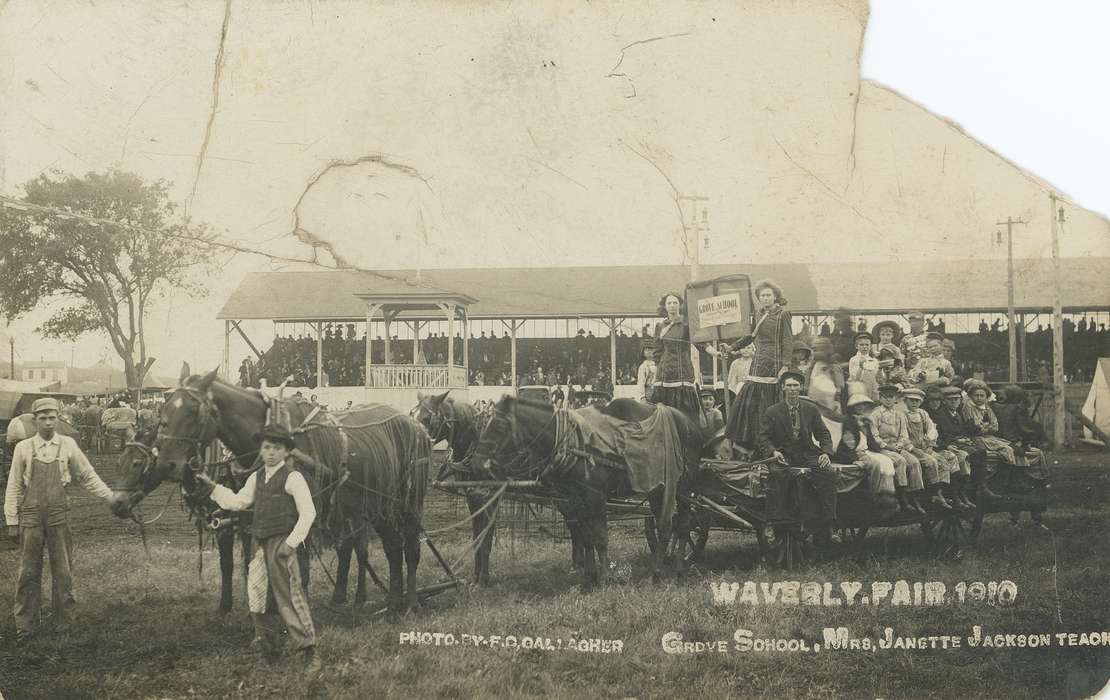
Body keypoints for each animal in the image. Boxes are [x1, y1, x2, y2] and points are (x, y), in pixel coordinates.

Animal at [109, 363, 428, 616]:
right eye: (163, 410)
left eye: (194, 410)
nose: (117, 503)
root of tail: (414, 424)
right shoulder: (245, 518)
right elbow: (244, 564)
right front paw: (249, 607)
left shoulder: (299, 516)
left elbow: (295, 567)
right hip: (375, 506)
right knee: (387, 546)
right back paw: (389, 602)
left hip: (406, 504)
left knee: (408, 547)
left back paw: (409, 603)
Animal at [408, 394, 499, 585]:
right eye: (412, 413)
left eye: (426, 418)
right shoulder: (472, 496)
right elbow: (476, 537)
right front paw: (475, 577)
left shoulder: (490, 496)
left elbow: (486, 538)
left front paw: (484, 579)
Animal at [470, 397, 701, 590]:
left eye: (500, 425)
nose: (477, 463)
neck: (571, 442)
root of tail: (687, 421)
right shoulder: (575, 499)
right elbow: (586, 537)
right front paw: (589, 578)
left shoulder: (596, 497)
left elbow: (600, 537)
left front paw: (605, 578)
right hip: (657, 488)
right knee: (670, 525)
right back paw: (668, 570)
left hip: (682, 488)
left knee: (680, 525)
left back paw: (668, 571)